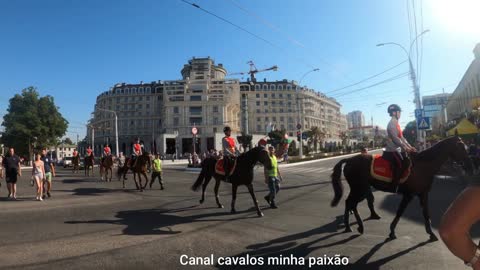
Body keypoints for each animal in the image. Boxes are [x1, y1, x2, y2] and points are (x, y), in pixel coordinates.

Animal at [330, 136, 472, 242]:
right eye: (461, 147)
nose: (468, 164)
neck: (423, 165)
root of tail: (349, 160)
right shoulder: (409, 195)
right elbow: (399, 212)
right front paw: (392, 231)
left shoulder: (423, 193)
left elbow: (425, 213)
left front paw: (431, 233)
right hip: (360, 189)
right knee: (351, 203)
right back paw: (357, 226)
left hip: (359, 189)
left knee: (349, 203)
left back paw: (349, 226)